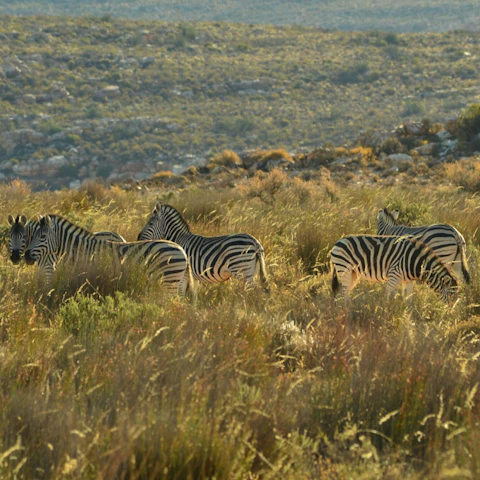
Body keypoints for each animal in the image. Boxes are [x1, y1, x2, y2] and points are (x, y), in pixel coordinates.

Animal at [21, 214, 192, 296]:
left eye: (42, 237)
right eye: (32, 235)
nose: (26, 256)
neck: (80, 250)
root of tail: (181, 250)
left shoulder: (85, 278)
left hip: (169, 281)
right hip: (177, 282)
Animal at [137, 202, 270, 290]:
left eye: (151, 223)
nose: (138, 238)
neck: (179, 239)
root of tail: (254, 241)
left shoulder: (184, 273)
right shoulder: (193, 276)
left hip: (241, 269)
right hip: (251, 271)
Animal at [330, 234, 458, 302]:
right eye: (451, 297)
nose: (450, 315)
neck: (416, 262)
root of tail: (338, 241)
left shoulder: (409, 280)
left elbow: (408, 299)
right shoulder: (394, 275)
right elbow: (388, 297)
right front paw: (387, 314)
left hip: (353, 273)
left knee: (346, 291)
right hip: (344, 269)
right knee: (344, 292)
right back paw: (348, 311)